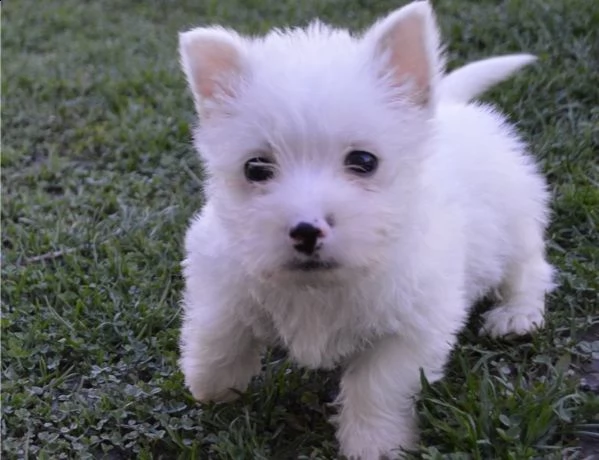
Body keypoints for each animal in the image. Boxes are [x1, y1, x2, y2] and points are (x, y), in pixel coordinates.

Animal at [176, 1, 556, 458]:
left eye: (363, 161)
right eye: (255, 168)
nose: (306, 230)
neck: (319, 289)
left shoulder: (411, 328)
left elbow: (377, 387)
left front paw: (375, 443)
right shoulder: (221, 268)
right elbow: (218, 327)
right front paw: (212, 383)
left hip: (516, 224)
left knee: (530, 270)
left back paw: (516, 315)